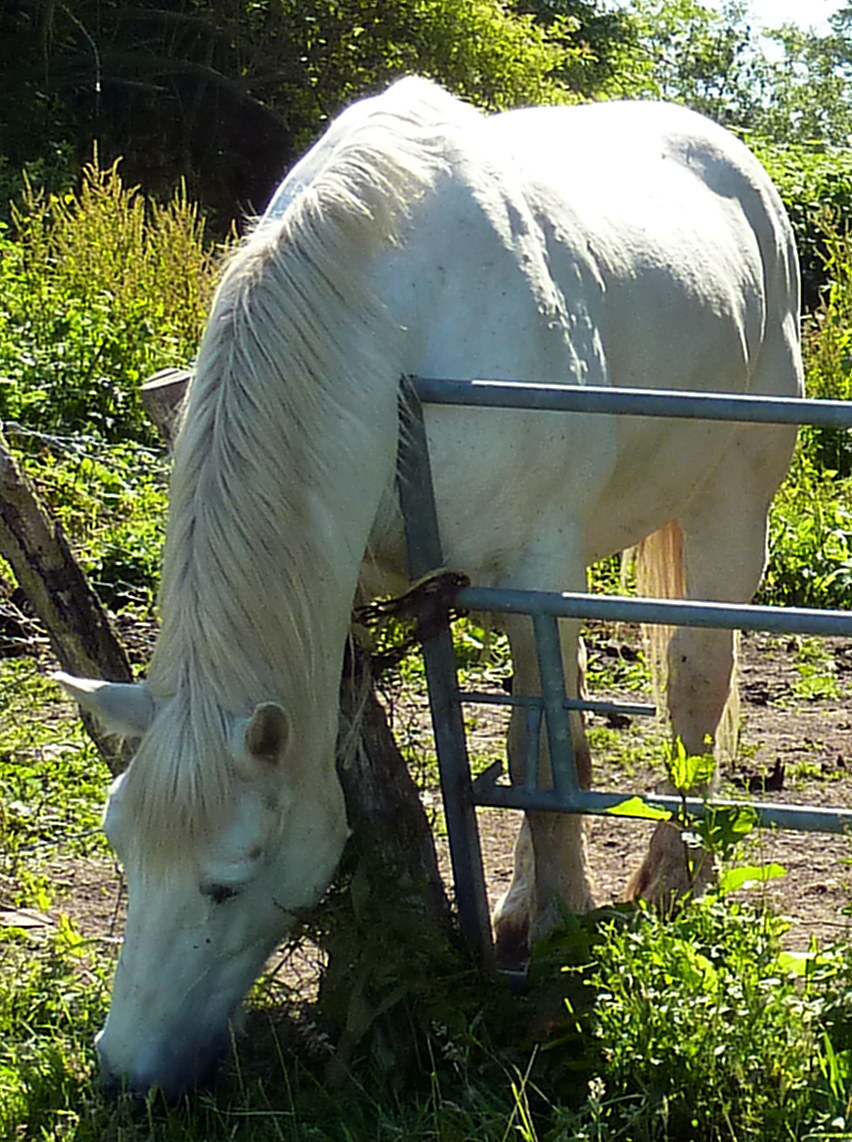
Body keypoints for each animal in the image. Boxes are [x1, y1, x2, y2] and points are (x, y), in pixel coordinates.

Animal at [56, 76, 802, 1097]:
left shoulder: (536, 574)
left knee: (695, 685)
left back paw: (671, 881)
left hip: (731, 503)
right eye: (122, 851)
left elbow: (553, 761)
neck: (394, 327)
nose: (126, 1070)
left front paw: (562, 955)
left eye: (230, 879)